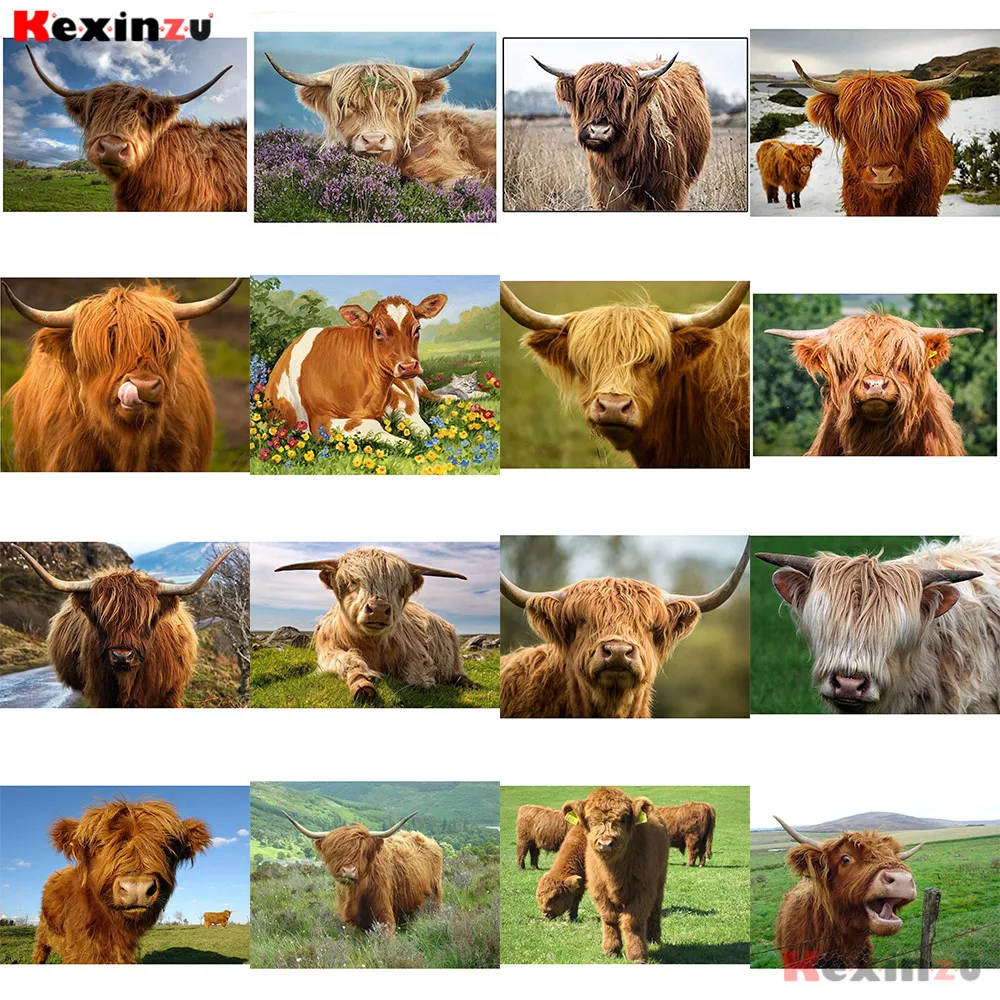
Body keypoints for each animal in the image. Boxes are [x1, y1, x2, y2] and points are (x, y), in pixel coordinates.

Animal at [264, 293, 450, 444]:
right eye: (378, 331)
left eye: (417, 328)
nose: (408, 366)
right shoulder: (320, 421)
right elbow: (373, 426)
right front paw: (406, 443)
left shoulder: (398, 394)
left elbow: (423, 428)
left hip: (417, 382)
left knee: (431, 394)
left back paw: (451, 397)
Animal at [274, 547, 473, 703]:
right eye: (352, 581)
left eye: (399, 587)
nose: (378, 609)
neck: (371, 645)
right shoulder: (328, 651)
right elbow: (347, 661)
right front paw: (361, 684)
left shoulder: (416, 653)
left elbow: (417, 678)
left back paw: (466, 682)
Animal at [282, 809, 442, 934]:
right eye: (335, 852)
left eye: (362, 852)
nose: (348, 871)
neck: (357, 892)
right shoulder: (356, 924)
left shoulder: (385, 916)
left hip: (435, 897)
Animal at [563, 788, 668, 962]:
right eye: (591, 820)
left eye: (623, 819)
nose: (605, 843)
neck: (613, 873)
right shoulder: (599, 891)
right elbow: (609, 918)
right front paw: (611, 950)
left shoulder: (643, 890)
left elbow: (633, 921)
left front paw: (637, 955)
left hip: (659, 881)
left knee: (655, 909)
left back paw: (653, 938)